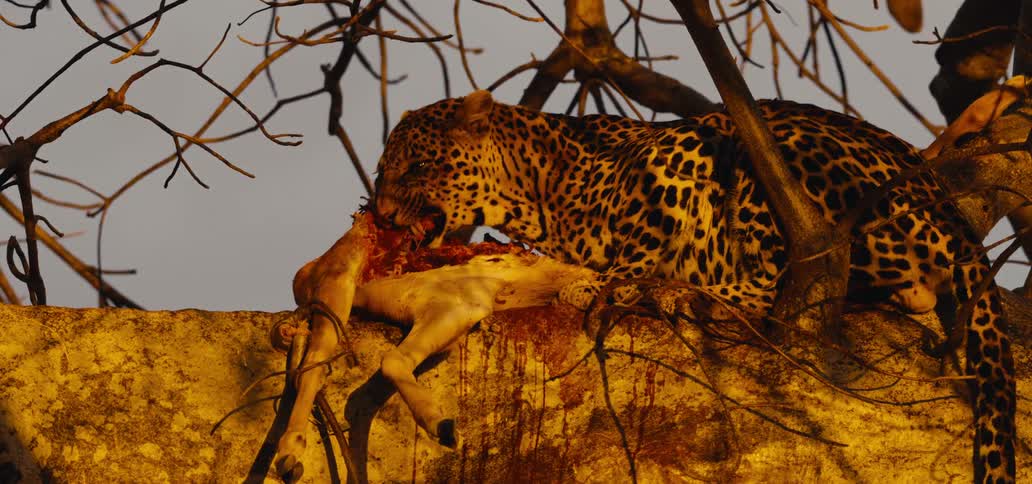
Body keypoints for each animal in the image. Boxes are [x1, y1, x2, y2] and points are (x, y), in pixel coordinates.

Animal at [372, 90, 1016, 483]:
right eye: (382, 172)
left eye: (417, 167)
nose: (380, 214)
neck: (536, 189)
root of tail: (945, 206)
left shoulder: (659, 164)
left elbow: (632, 250)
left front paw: (612, 282)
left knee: (778, 282)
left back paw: (687, 289)